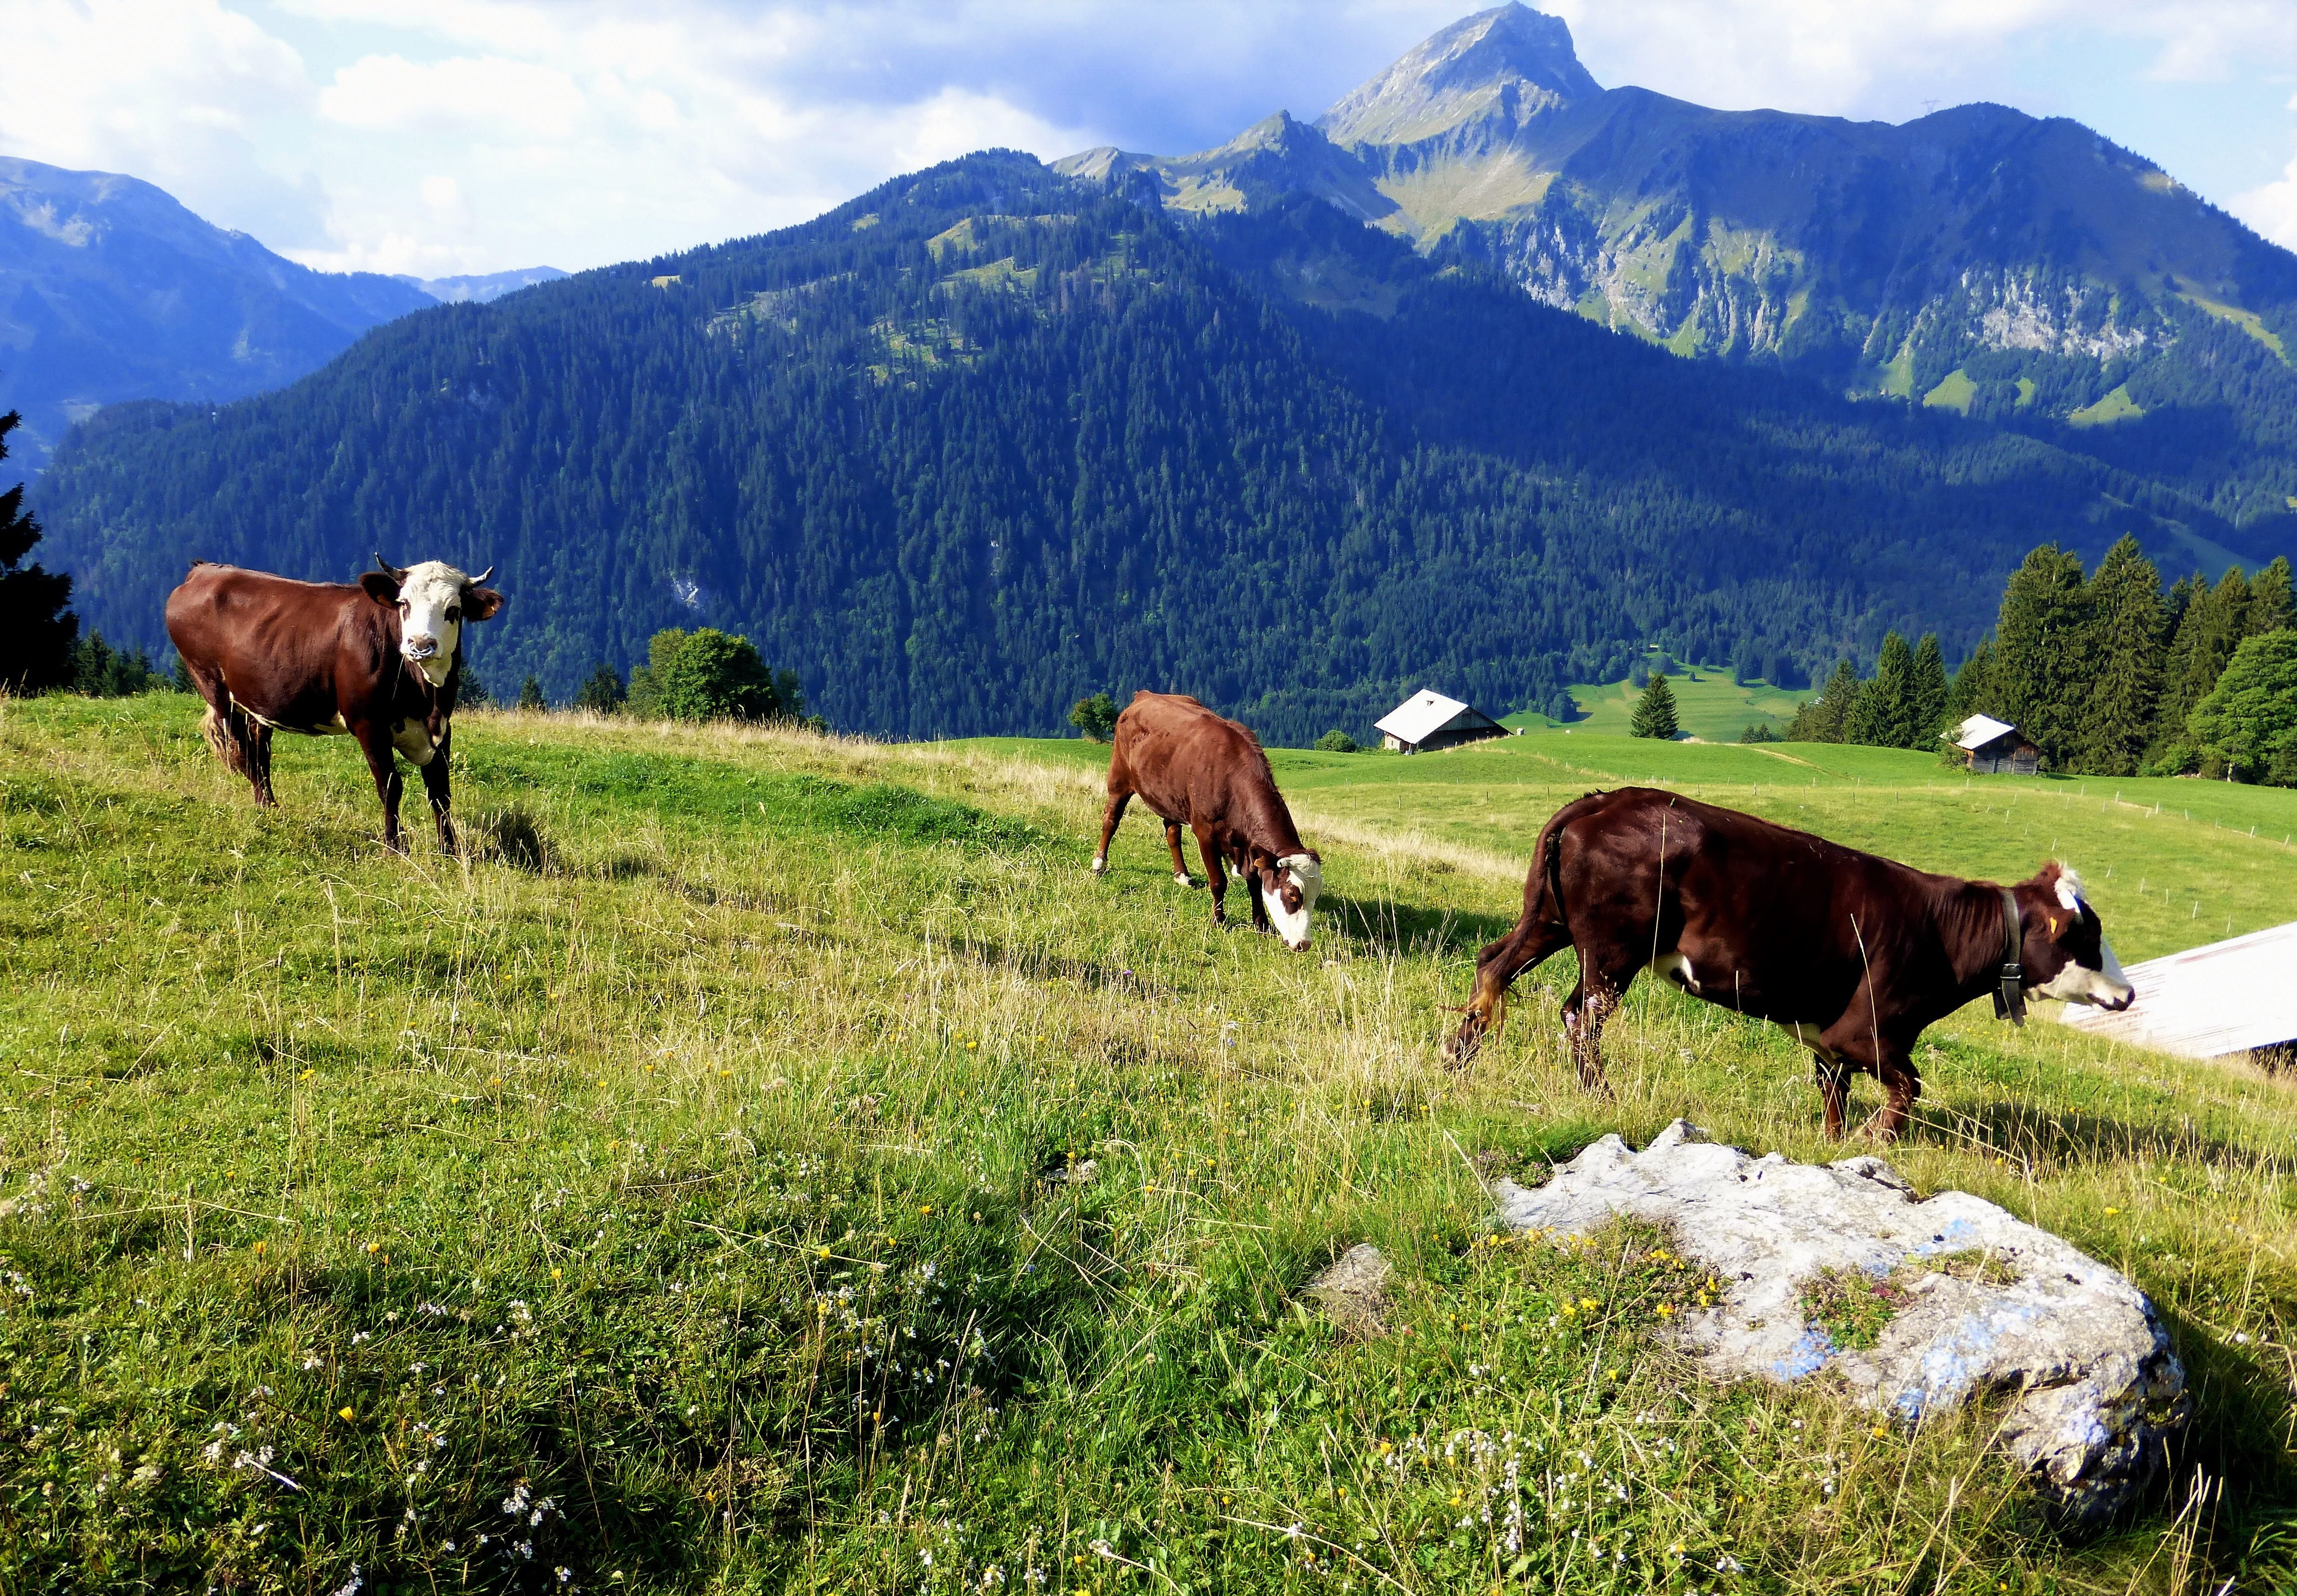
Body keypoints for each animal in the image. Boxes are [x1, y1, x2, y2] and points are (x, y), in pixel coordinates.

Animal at [165, 557, 504, 852]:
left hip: (257, 699)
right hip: (212, 684)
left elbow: (440, 792)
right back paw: (264, 808)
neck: (425, 698)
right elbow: (390, 787)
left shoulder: (442, 727)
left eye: (454, 610)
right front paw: (395, 848)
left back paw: (271, 808)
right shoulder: (369, 725)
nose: (420, 645)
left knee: (260, 749)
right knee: (242, 749)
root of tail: (202, 571)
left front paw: (451, 851)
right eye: (404, 604)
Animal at [1089, 691, 1323, 951]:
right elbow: (1219, 882)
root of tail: (1146, 695)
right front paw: (1218, 920)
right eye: (1292, 894)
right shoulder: (1206, 833)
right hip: (1118, 778)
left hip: (1169, 796)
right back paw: (1099, 864)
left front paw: (1261, 923)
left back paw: (1182, 875)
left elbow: (1255, 884)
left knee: (1172, 833)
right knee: (1111, 820)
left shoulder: (1249, 847)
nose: (1304, 943)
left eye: (1316, 897)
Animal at [1440, 787, 2133, 1140]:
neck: (1943, 934)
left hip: (1550, 922)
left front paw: (1837, 1144)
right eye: (2088, 934)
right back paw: (1603, 1101)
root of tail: (1600, 799)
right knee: (1581, 1017)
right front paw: (1874, 1143)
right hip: (1611, 950)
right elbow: (1908, 1088)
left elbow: (1834, 1095)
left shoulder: (1828, 1034)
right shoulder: (1870, 1029)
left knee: (1492, 966)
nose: (2128, 995)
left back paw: (1457, 1062)